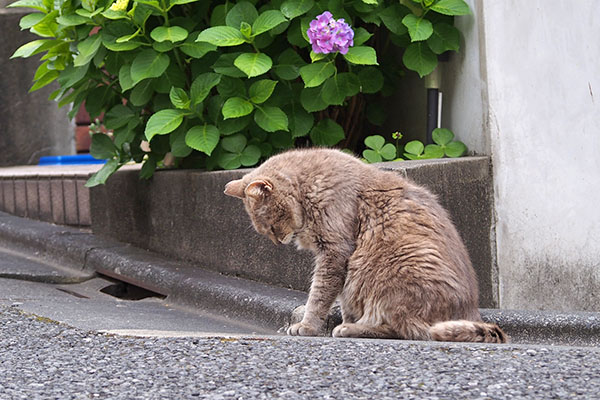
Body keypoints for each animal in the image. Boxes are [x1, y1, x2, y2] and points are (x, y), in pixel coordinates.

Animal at [225, 148, 506, 342]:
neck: (309, 187)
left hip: (395, 269)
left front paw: (307, 325)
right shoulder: (342, 264)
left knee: (405, 328)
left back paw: (351, 328)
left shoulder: (335, 252)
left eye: (271, 227)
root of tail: (471, 313)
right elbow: (343, 297)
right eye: (265, 231)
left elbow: (319, 295)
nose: (278, 242)